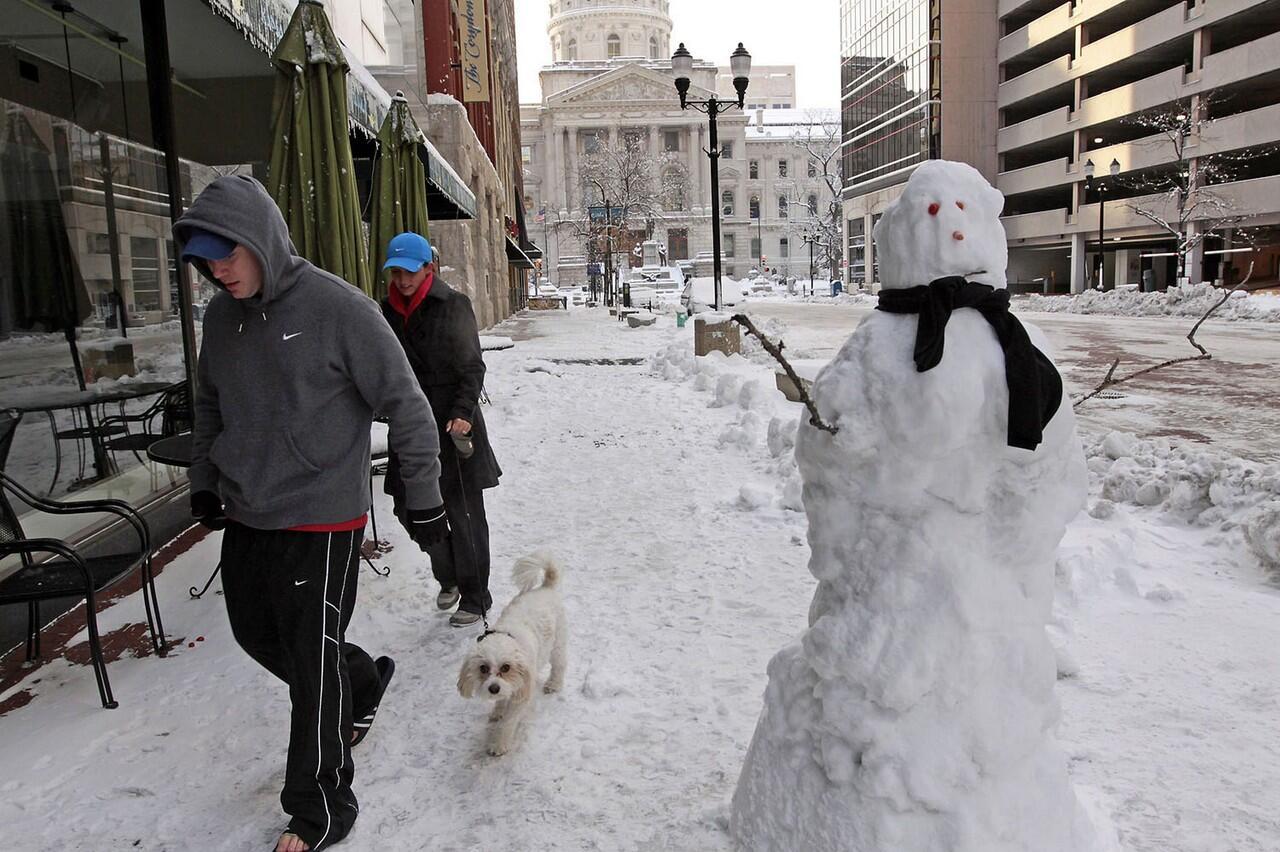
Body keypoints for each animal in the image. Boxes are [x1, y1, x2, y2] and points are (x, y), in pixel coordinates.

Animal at [455, 547, 565, 752]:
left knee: (559, 664)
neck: (508, 637)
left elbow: (508, 722)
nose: (494, 688)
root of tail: (545, 587)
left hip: (558, 643)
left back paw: (553, 684)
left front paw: (498, 743)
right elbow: (501, 703)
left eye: (506, 667)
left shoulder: (521, 692)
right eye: (483, 668)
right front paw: (498, 710)